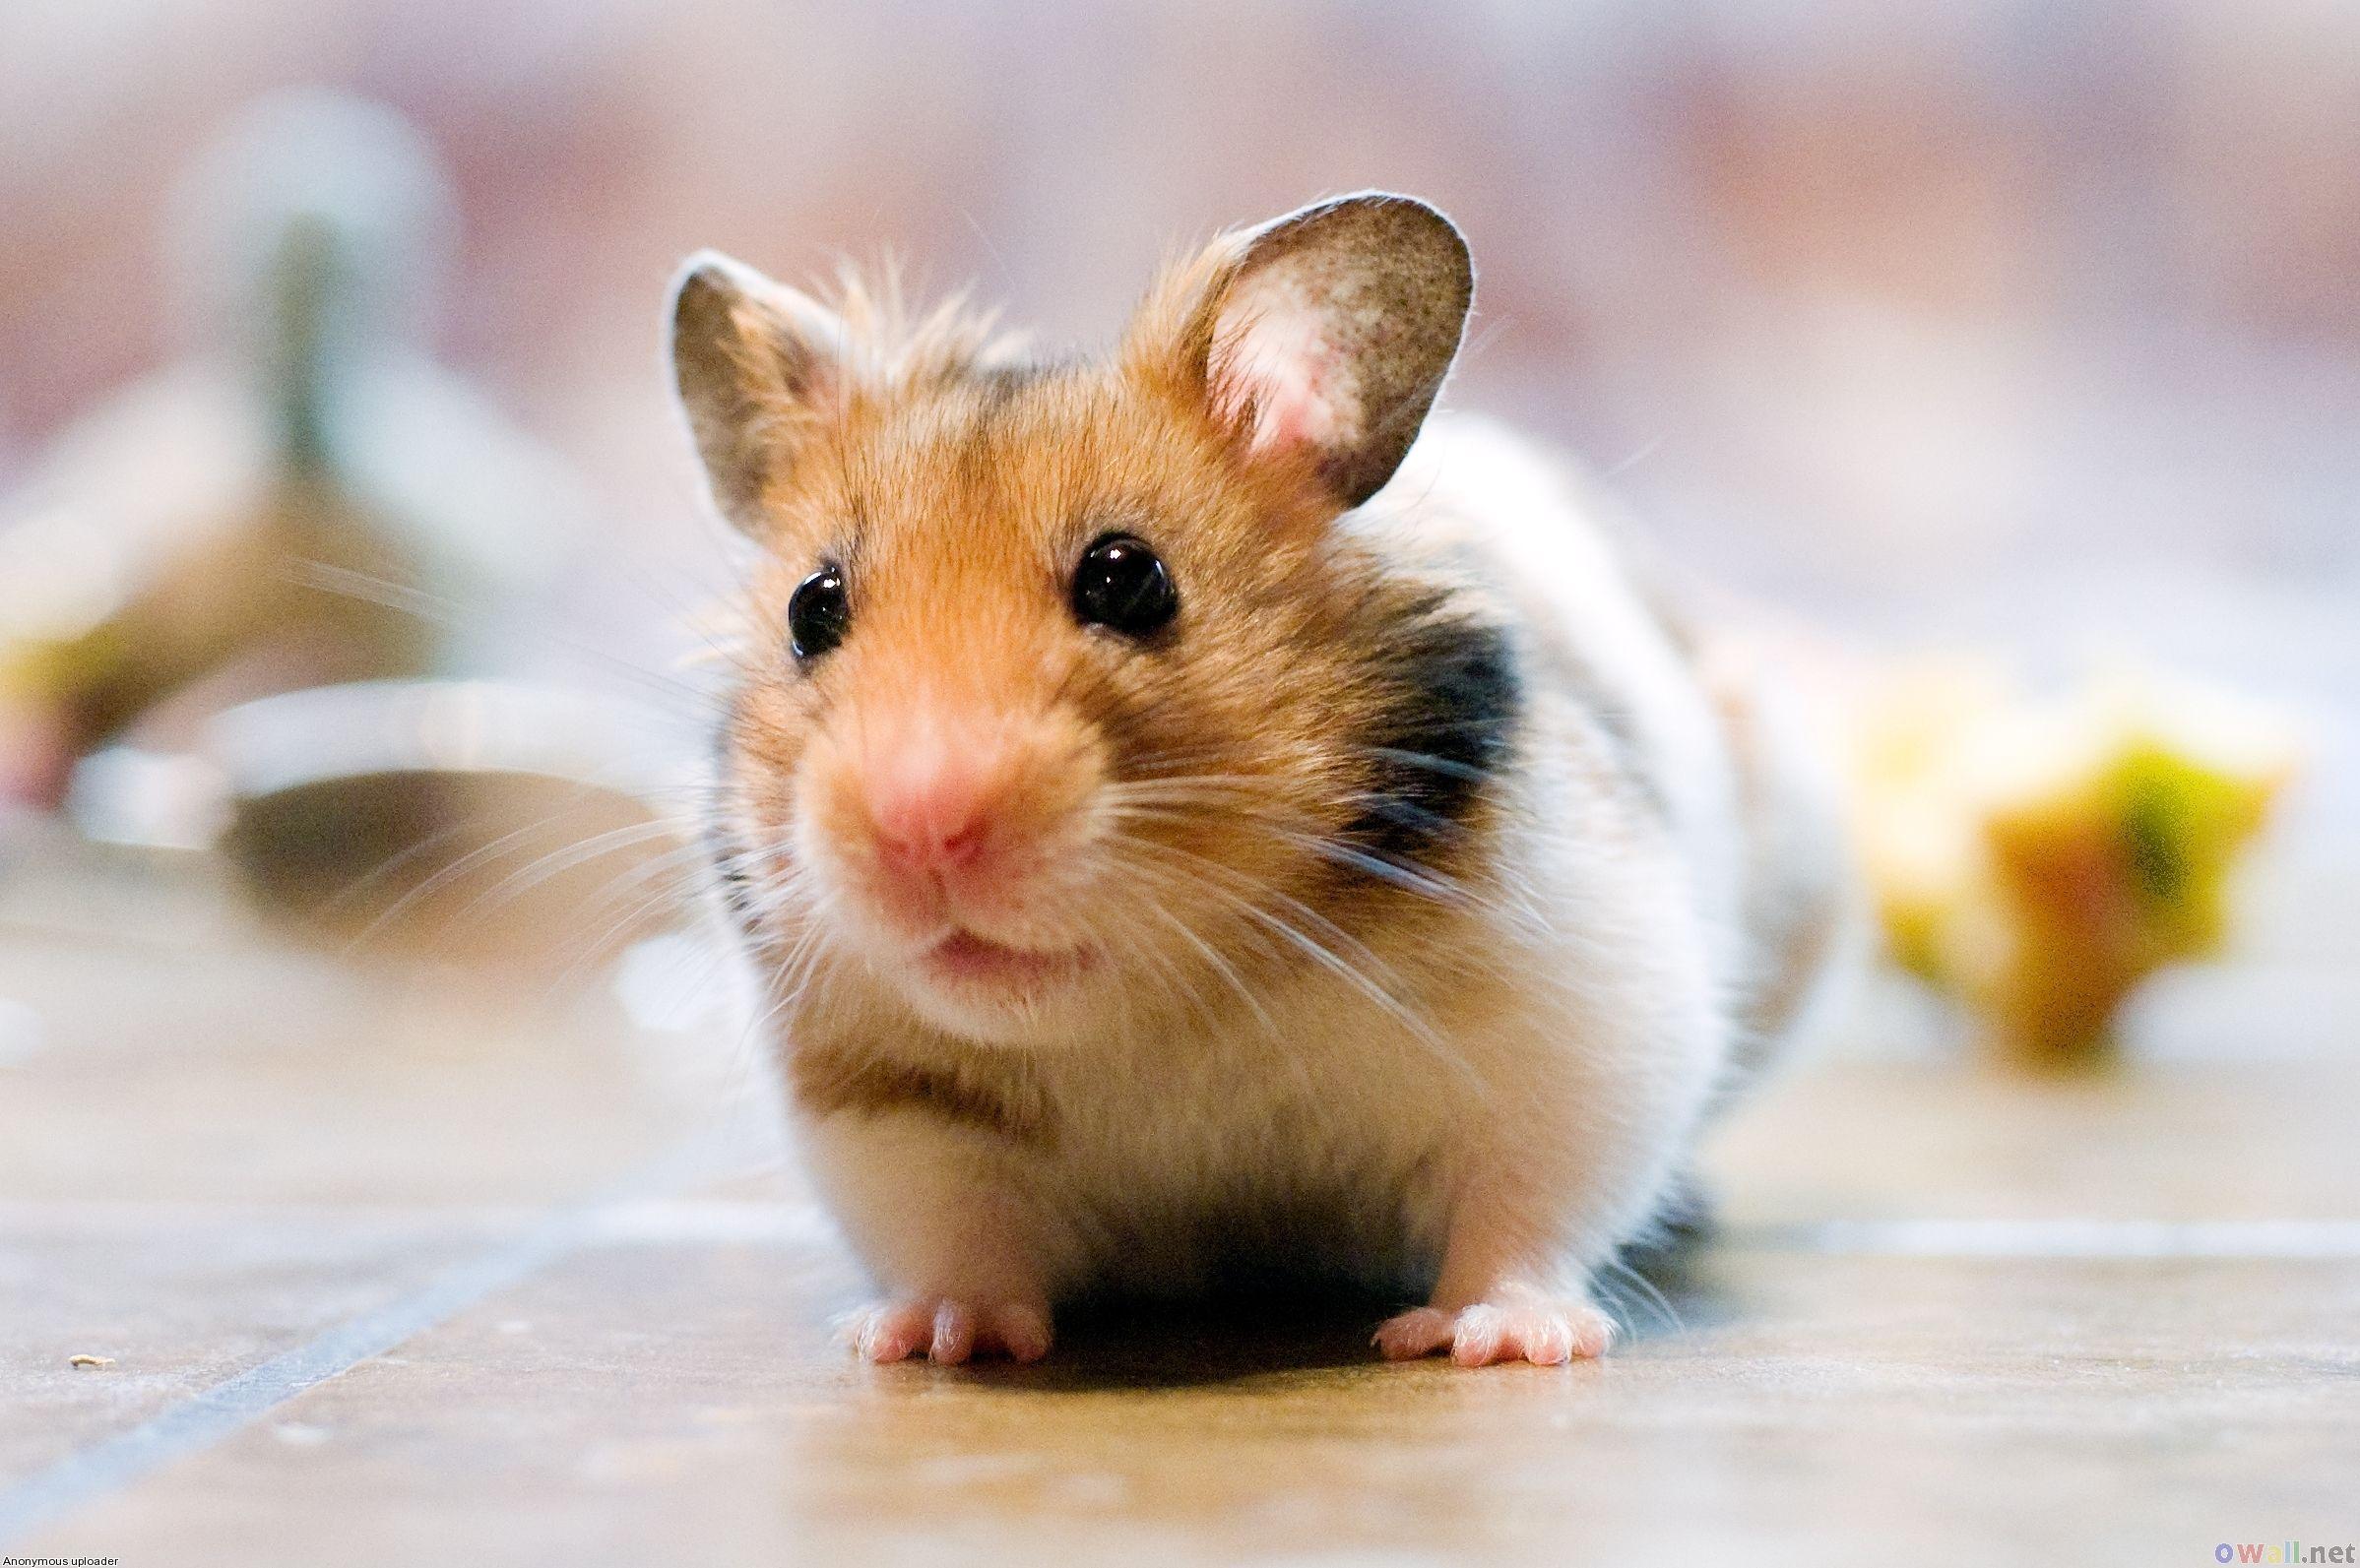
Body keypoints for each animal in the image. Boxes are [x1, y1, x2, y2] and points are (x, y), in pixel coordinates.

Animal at [666, 192, 1851, 1367]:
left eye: (1128, 579)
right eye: (812, 607)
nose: (920, 829)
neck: (1167, 1003)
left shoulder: (1585, 1025)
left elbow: (1525, 1206)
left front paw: (1495, 1341)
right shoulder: (882, 1110)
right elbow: (954, 1231)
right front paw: (923, 1341)